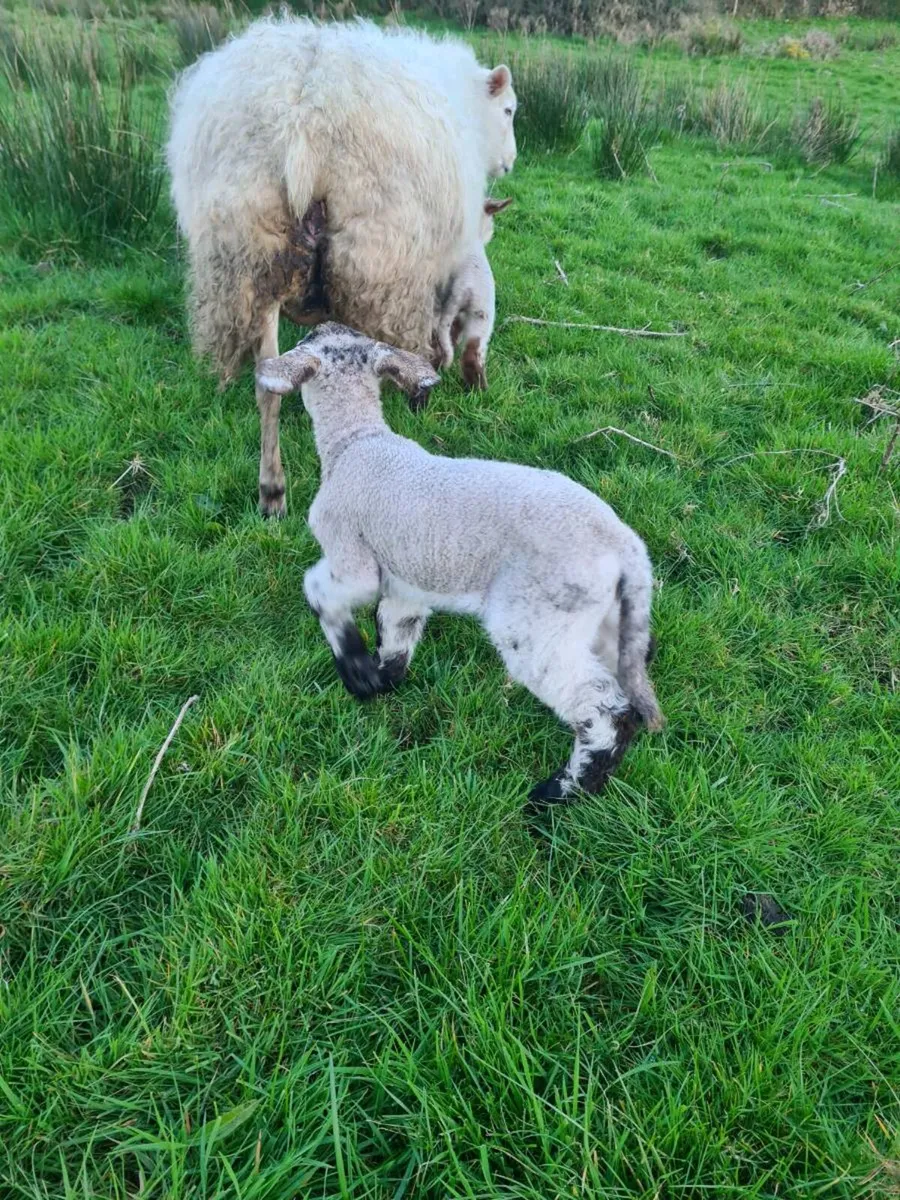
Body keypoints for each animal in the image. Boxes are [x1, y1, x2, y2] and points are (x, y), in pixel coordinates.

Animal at [255, 323, 664, 805]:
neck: (357, 441)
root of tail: (625, 547)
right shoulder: (407, 582)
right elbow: (397, 632)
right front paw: (383, 681)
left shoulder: (351, 557)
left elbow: (319, 592)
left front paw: (356, 673)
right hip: (603, 620)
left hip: (536, 621)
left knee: (603, 708)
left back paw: (559, 793)